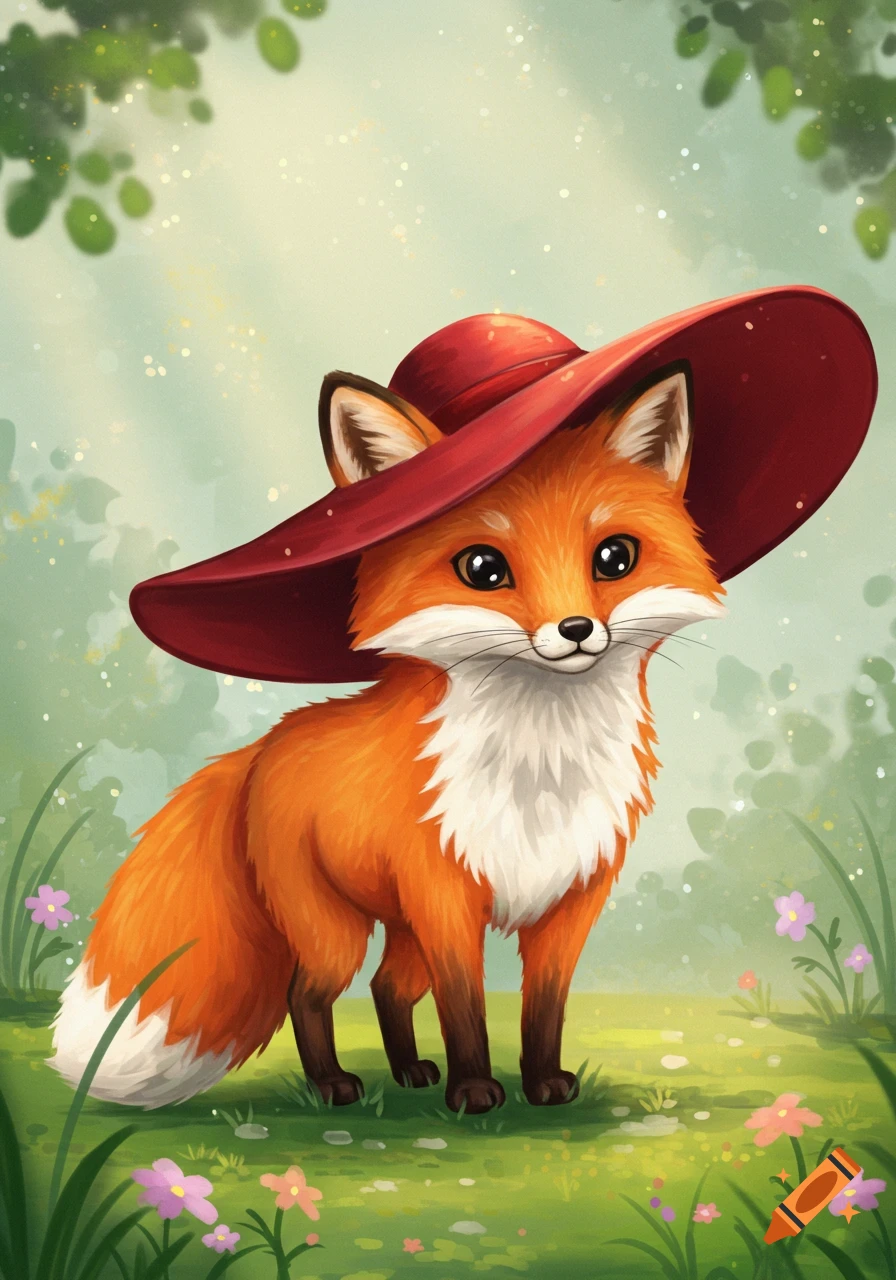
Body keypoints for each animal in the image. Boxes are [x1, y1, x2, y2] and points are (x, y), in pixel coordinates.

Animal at [50, 359, 725, 1115]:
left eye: (614, 557)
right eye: (484, 569)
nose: (576, 629)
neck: (541, 767)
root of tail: (263, 746)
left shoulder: (572, 898)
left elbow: (544, 1008)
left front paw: (544, 1084)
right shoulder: (445, 898)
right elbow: (465, 1007)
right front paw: (474, 1091)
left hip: (397, 931)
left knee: (386, 988)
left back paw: (407, 1072)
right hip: (334, 930)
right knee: (308, 995)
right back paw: (332, 1086)